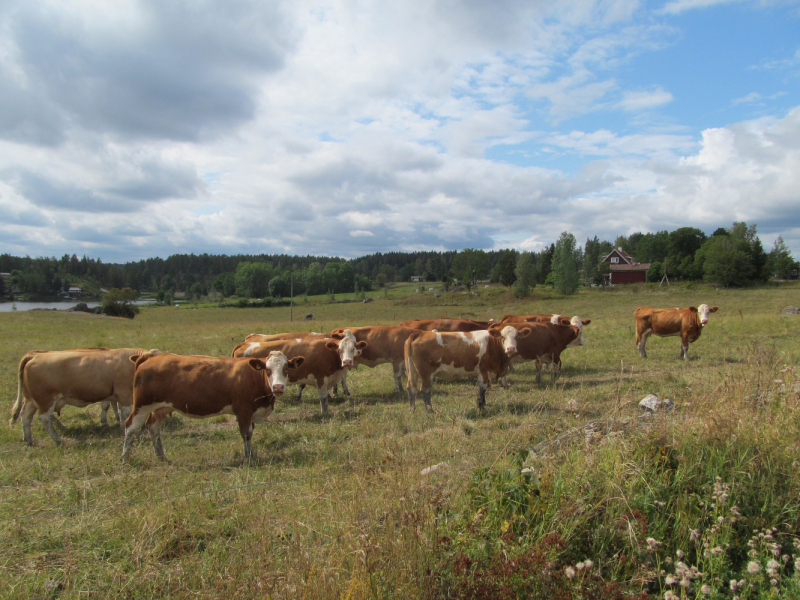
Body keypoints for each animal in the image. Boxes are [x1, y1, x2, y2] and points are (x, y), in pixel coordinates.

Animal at [10, 346, 161, 446]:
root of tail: (34, 355)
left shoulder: (116, 396)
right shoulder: (124, 395)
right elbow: (127, 414)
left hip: (31, 400)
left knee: (25, 416)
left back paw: (28, 439)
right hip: (46, 399)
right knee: (44, 418)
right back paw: (58, 439)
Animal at [122, 354, 304, 462]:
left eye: (286, 368)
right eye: (267, 369)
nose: (278, 387)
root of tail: (152, 356)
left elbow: (250, 434)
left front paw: (250, 455)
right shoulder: (243, 411)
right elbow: (246, 434)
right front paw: (249, 458)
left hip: (161, 408)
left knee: (153, 428)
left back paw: (161, 457)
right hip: (141, 405)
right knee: (130, 427)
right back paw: (125, 458)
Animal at [228, 336, 366, 414]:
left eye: (353, 349)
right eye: (339, 350)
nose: (347, 361)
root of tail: (245, 343)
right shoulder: (320, 378)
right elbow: (323, 398)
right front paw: (325, 413)